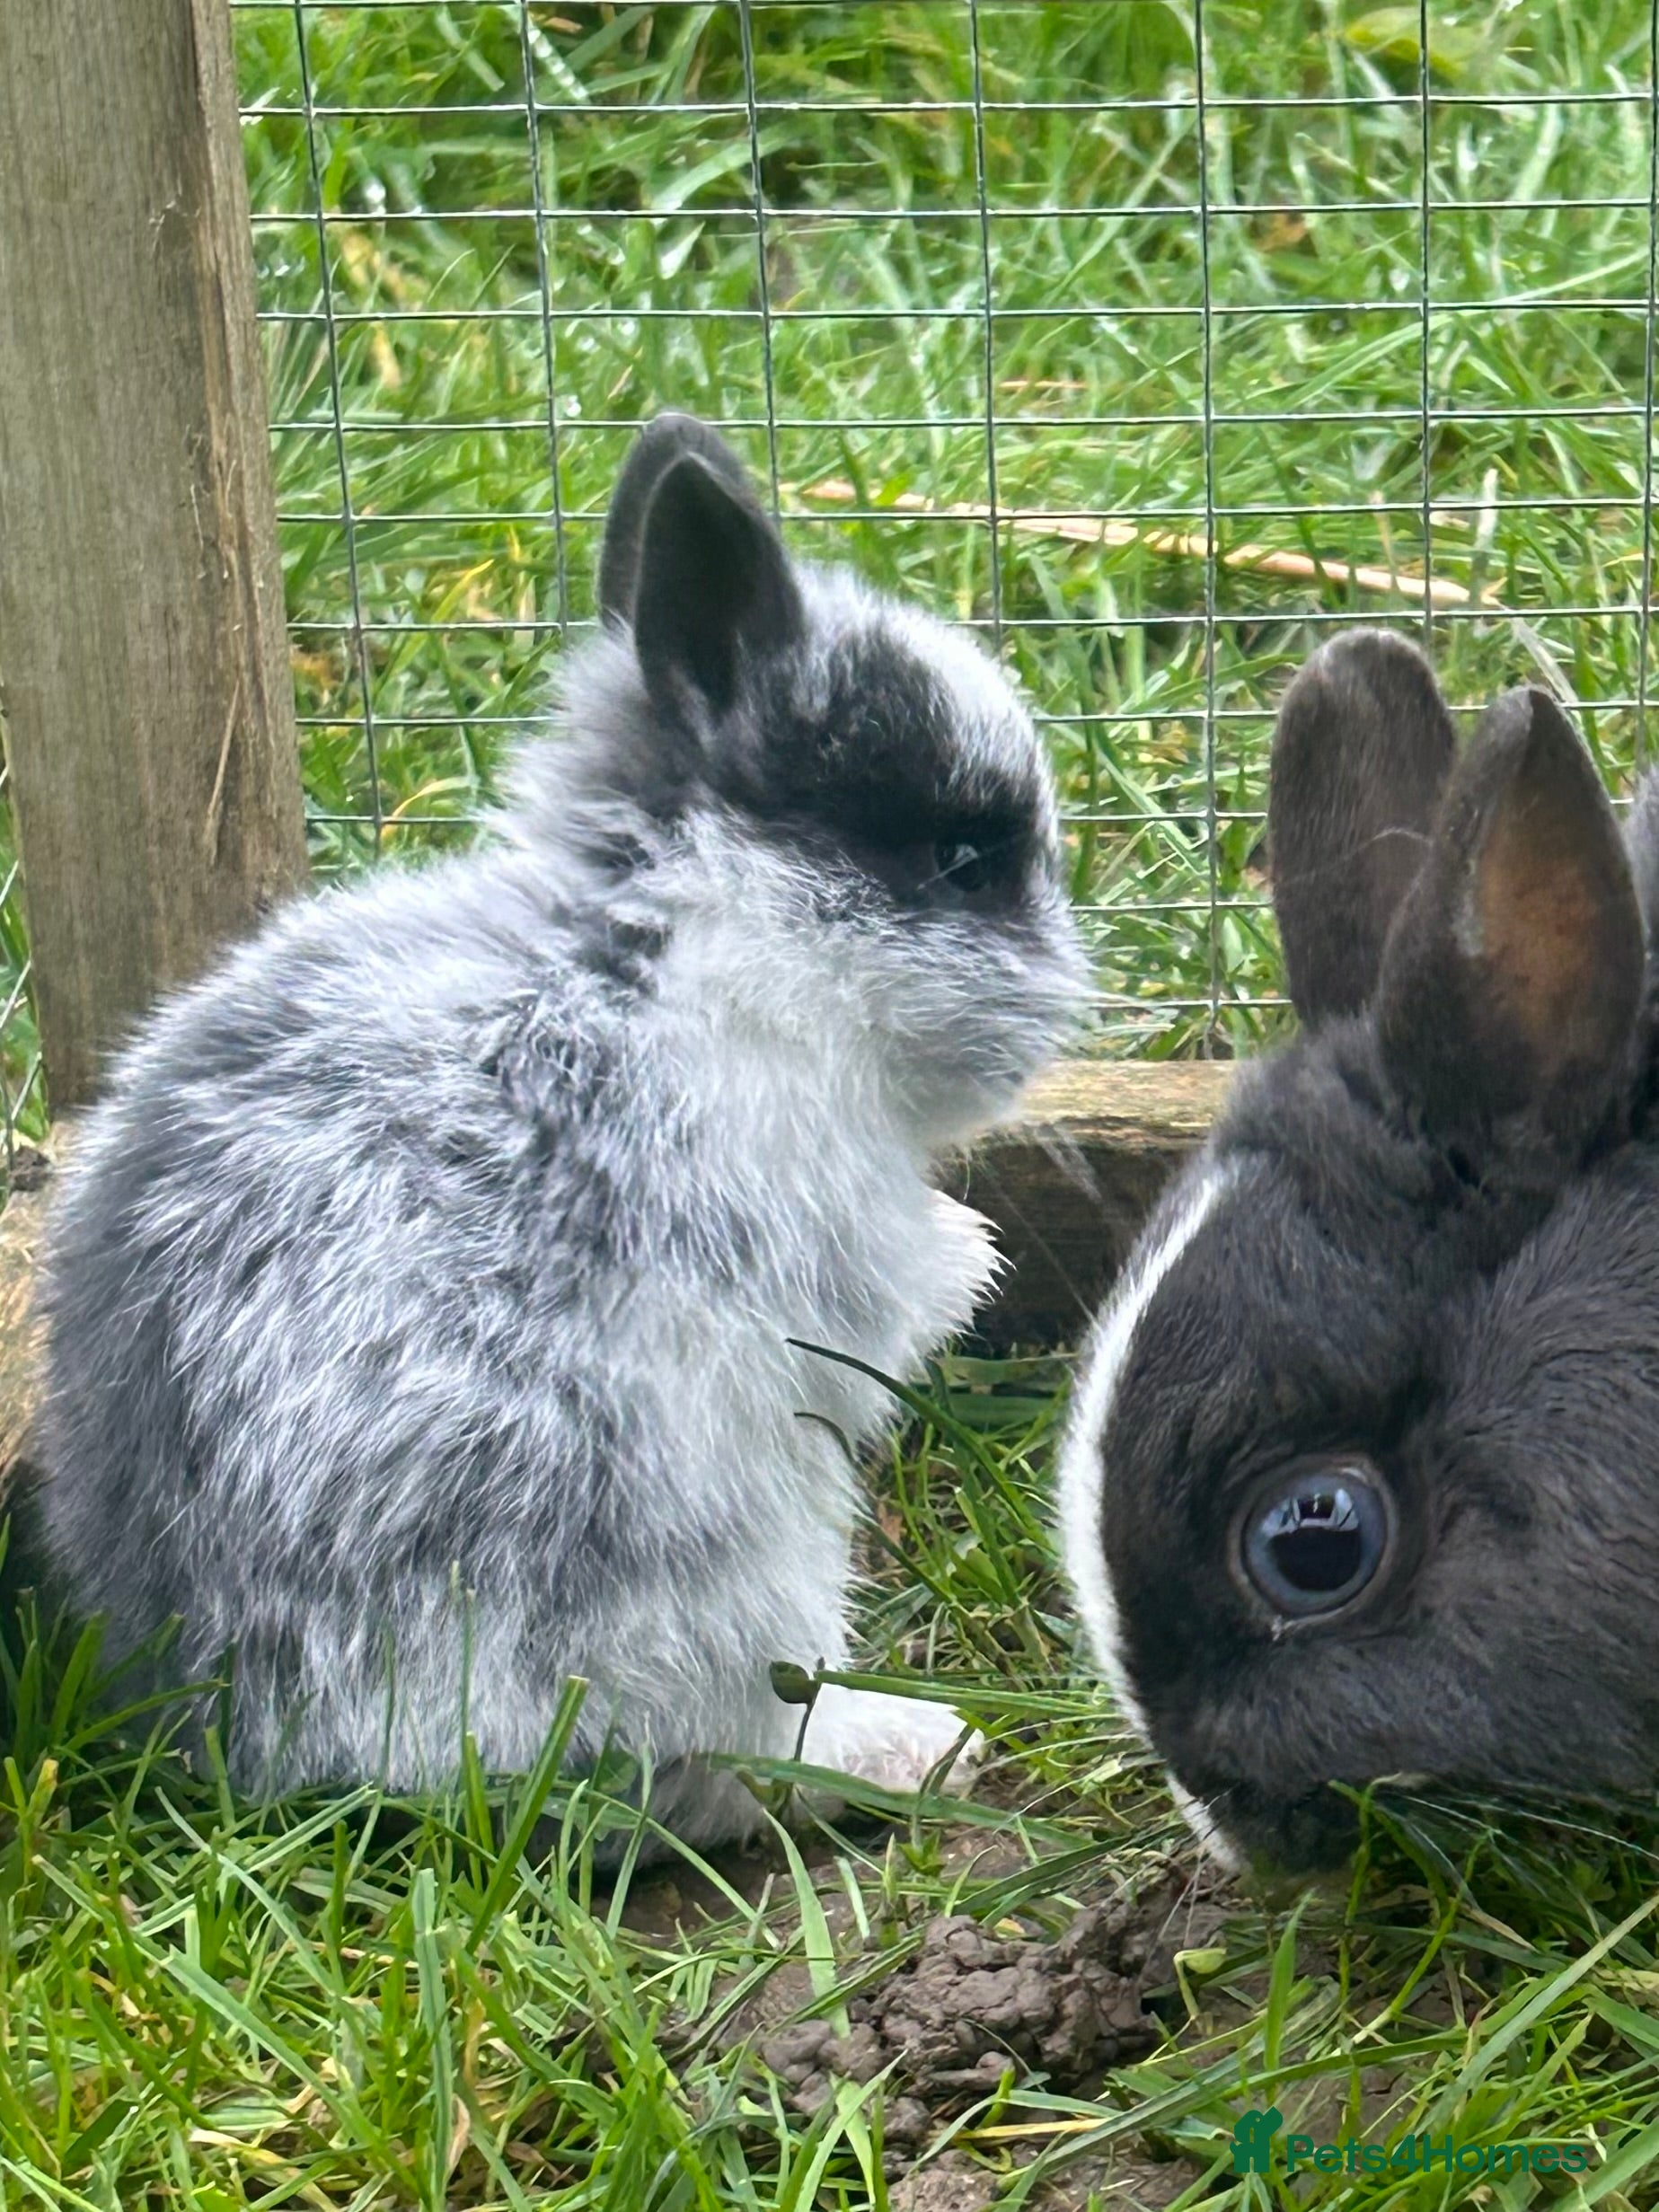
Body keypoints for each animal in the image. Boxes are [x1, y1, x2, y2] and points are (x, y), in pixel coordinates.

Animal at [36, 413, 1089, 1840]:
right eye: (963, 861)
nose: (1067, 1001)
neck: (672, 949)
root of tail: (262, 1741)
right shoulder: (807, 1221)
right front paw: (973, 1248)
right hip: (734, 1565)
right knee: (723, 1757)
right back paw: (916, 1749)